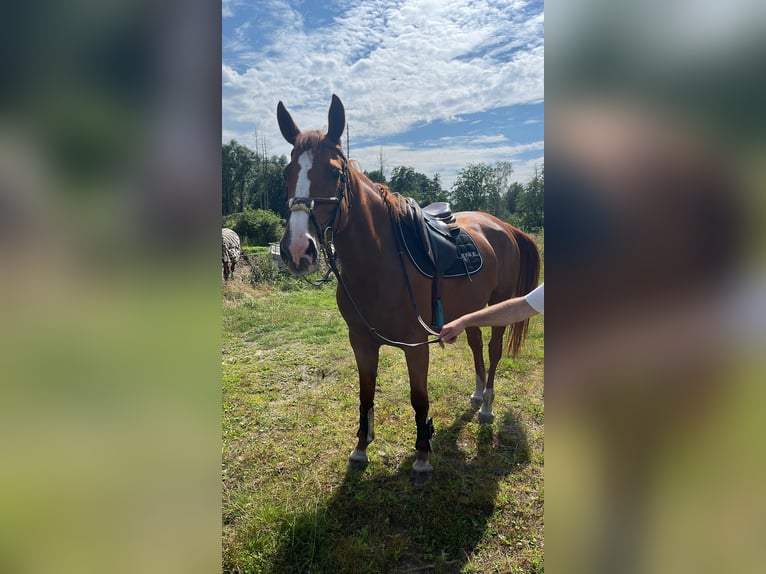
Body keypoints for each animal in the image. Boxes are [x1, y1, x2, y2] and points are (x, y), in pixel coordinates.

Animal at [276, 94, 540, 476]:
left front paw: (422, 455)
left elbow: (419, 398)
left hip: (500, 305)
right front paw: (361, 448)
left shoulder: (416, 345)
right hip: (473, 309)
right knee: (476, 346)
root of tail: (503, 226)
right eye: (287, 173)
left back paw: (487, 405)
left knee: (492, 352)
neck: (380, 262)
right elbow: (365, 394)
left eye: (334, 171)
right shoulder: (361, 341)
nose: (298, 250)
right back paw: (477, 394)